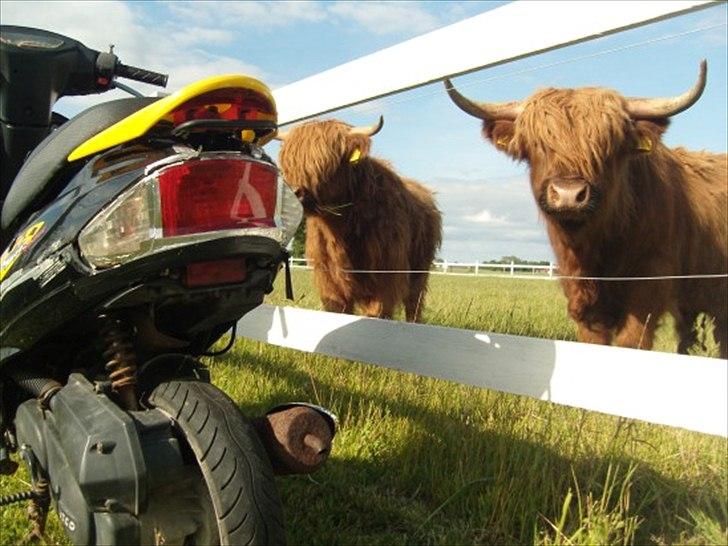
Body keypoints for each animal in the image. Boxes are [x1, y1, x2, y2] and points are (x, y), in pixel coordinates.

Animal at [276, 117, 442, 322]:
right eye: (289, 163)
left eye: (327, 163)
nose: (293, 192)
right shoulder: (330, 283)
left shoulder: (386, 280)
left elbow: (377, 314)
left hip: (420, 271)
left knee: (414, 304)